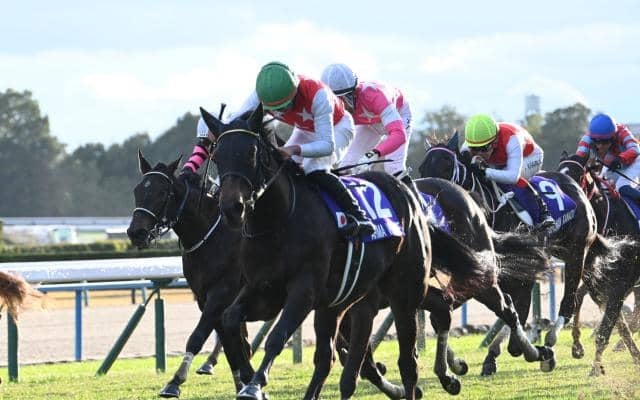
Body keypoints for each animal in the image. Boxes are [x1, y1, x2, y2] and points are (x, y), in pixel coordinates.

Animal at [127, 152, 254, 398]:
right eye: (137, 190)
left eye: (162, 192)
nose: (136, 232)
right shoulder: (204, 297)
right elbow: (230, 340)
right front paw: (243, 381)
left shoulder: (222, 292)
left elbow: (199, 336)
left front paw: (174, 381)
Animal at [200, 104, 492, 400]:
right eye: (217, 155)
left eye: (250, 153)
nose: (232, 208)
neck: (279, 220)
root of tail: (409, 195)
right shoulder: (263, 289)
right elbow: (230, 319)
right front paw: (248, 378)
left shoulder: (304, 290)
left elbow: (277, 337)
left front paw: (255, 385)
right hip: (346, 301)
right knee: (335, 357)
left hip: (404, 294)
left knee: (408, 361)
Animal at [418, 134, 610, 373]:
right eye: (422, 168)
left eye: (446, 166)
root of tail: (575, 187)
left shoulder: (522, 277)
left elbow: (516, 330)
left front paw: (539, 352)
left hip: (576, 252)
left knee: (569, 301)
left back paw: (552, 340)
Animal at [557, 153, 640, 375]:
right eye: (559, 171)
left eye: (578, 174)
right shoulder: (596, 284)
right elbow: (617, 324)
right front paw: (579, 348)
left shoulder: (620, 284)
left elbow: (607, 327)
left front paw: (595, 367)